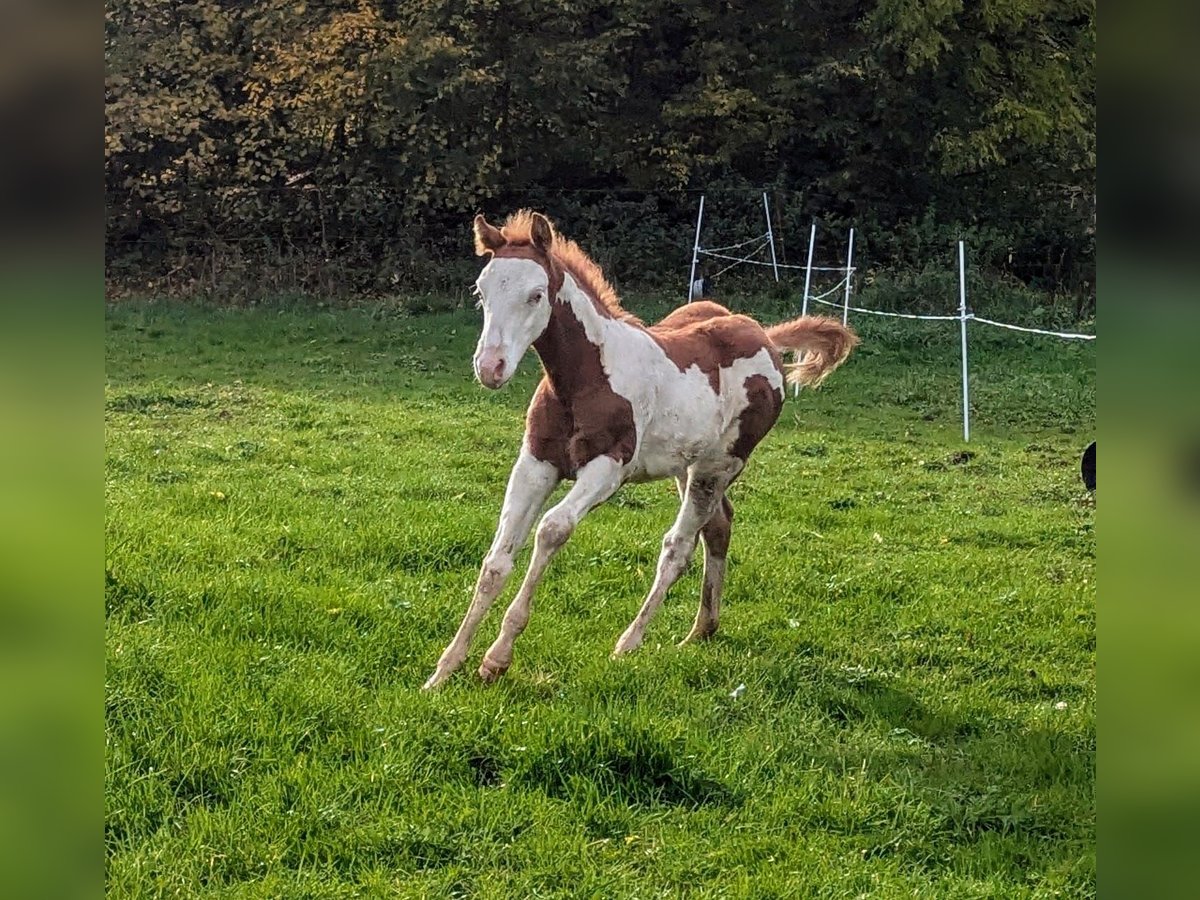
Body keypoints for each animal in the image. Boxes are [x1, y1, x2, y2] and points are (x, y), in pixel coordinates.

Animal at [422, 211, 859, 689]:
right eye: (481, 292)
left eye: (535, 295)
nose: (491, 368)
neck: (586, 378)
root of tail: (764, 335)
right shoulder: (535, 463)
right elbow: (496, 562)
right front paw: (445, 669)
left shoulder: (607, 470)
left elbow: (551, 530)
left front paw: (497, 658)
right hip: (686, 466)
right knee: (719, 526)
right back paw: (702, 629)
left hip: (718, 466)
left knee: (679, 546)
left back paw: (630, 641)